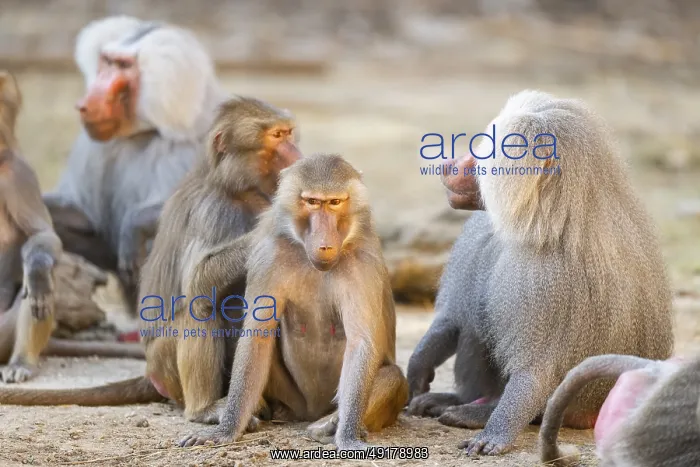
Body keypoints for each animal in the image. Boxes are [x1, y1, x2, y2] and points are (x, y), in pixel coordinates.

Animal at [42, 15, 227, 316]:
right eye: (106, 61)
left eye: (124, 66)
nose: (84, 104)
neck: (143, 131)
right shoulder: (95, 148)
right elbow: (81, 217)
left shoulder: (183, 149)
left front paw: (133, 227)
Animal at [177, 153, 409, 451]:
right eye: (312, 202)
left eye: (335, 202)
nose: (324, 245)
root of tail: (310, 411)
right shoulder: (269, 255)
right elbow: (257, 336)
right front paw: (226, 430)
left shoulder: (363, 263)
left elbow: (360, 342)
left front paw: (347, 436)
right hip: (292, 397)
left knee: (393, 378)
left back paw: (329, 424)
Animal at [405, 89, 674, 456]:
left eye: (484, 153)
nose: (448, 165)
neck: (540, 219)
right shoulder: (479, 237)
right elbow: (452, 321)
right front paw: (418, 369)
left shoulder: (549, 280)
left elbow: (536, 372)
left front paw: (496, 432)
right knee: (475, 325)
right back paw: (453, 399)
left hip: (575, 405)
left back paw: (475, 412)